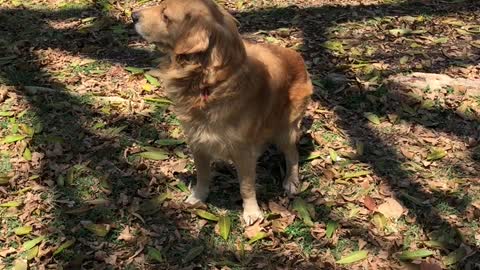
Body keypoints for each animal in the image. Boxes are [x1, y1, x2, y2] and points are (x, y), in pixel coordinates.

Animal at [132, 0, 312, 224]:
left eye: (166, 16)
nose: (133, 15)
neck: (207, 83)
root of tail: (296, 54)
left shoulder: (243, 150)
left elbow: (246, 186)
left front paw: (251, 212)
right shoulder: (198, 141)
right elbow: (202, 175)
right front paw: (198, 197)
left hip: (285, 130)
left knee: (292, 153)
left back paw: (291, 180)